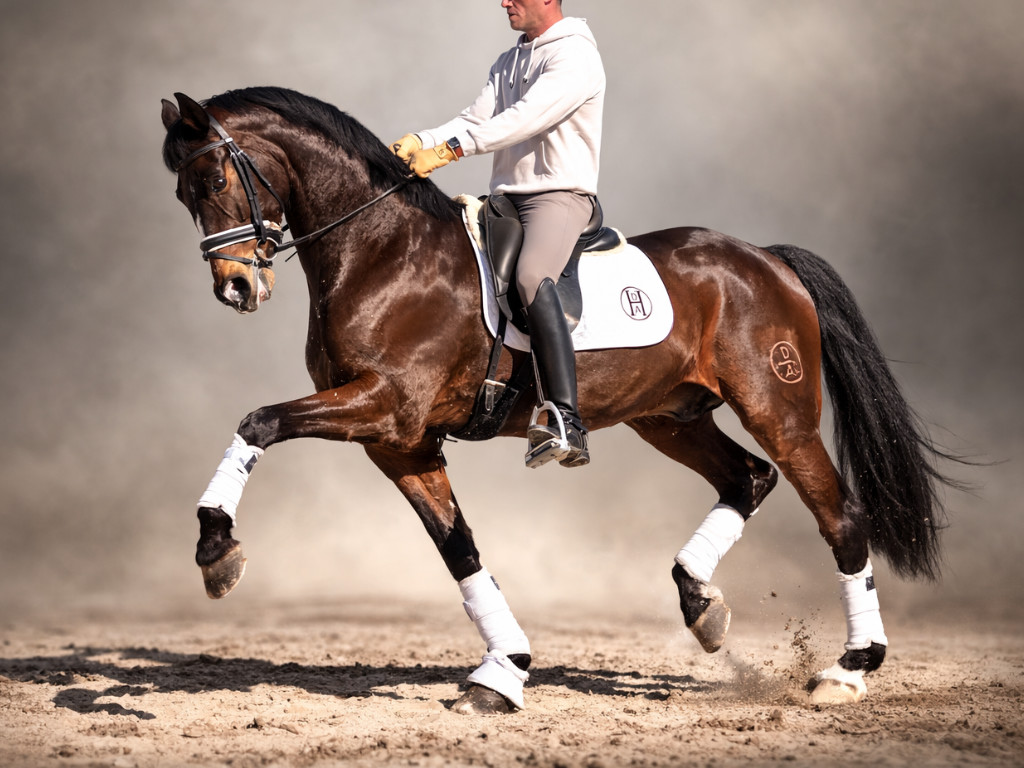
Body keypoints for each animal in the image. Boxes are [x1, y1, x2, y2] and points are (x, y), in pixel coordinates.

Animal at [160, 86, 955, 714]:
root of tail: (765, 259)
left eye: (212, 177)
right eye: (182, 192)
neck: (381, 251)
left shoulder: (385, 406)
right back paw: (700, 605)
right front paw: (503, 673)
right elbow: (461, 553)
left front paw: (216, 547)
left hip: (778, 410)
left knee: (838, 516)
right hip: (667, 417)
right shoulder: (399, 442)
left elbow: (259, 420)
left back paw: (849, 670)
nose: (237, 287)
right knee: (748, 478)